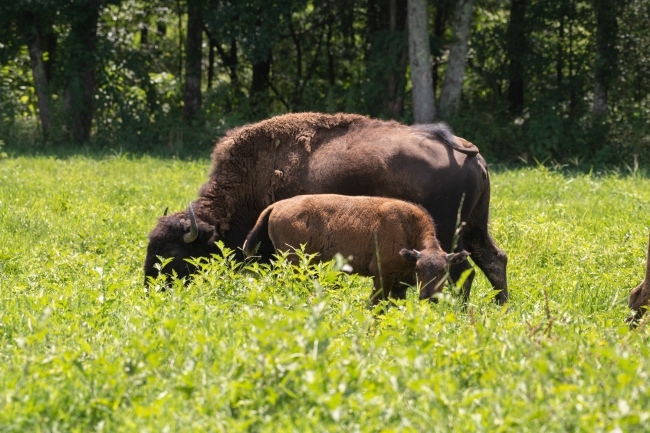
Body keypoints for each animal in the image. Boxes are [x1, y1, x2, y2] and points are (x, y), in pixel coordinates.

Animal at [240, 194, 468, 306]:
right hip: (294, 263)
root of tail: (277, 206)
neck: (407, 229)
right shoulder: (381, 276)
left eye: (444, 270)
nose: (429, 297)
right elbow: (376, 305)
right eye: (419, 268)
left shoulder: (399, 285)